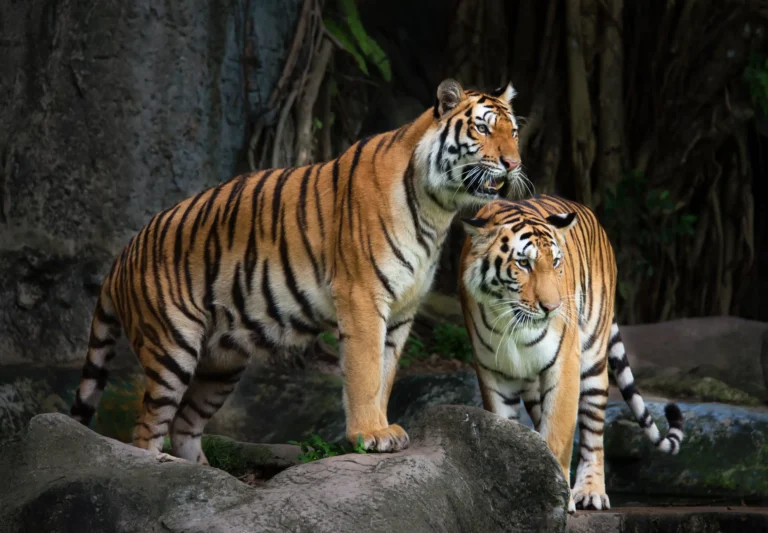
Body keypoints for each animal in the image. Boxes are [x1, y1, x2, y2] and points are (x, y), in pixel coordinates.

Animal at [70, 78, 525, 463]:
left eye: (514, 132)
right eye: (482, 129)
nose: (513, 163)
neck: (437, 208)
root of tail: (123, 254)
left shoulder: (402, 311)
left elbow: (386, 374)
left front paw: (383, 427)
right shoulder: (362, 296)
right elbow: (365, 371)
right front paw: (369, 434)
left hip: (222, 363)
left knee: (185, 425)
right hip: (171, 348)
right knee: (147, 426)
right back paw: (158, 468)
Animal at [458, 194, 684, 512]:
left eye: (555, 262)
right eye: (523, 263)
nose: (552, 308)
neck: (512, 324)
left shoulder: (564, 363)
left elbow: (558, 434)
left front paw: (555, 498)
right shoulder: (493, 372)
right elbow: (505, 430)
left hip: (593, 359)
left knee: (593, 433)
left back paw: (590, 491)